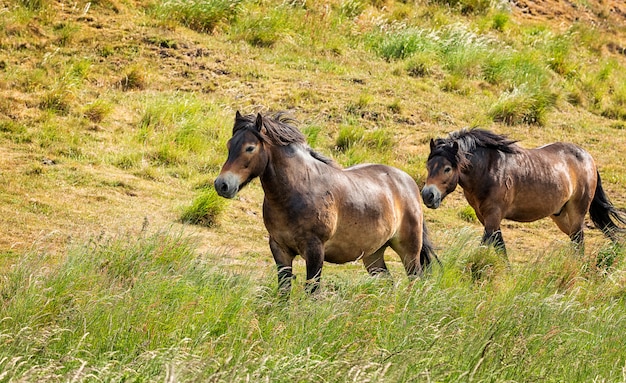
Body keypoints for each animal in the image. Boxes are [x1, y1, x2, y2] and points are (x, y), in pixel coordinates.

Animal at [214, 112, 434, 296]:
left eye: (250, 148)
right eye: (229, 145)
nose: (222, 184)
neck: (298, 189)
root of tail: (410, 183)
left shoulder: (315, 251)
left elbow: (312, 291)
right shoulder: (279, 248)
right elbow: (284, 291)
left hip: (409, 251)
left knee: (415, 278)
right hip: (373, 254)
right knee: (387, 282)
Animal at [420, 129, 624, 255]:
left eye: (447, 168)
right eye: (428, 166)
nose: (427, 195)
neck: (489, 169)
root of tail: (589, 158)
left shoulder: (493, 217)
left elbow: (486, 245)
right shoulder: (486, 218)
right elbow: (500, 248)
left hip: (577, 214)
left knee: (578, 243)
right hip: (561, 216)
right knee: (576, 241)